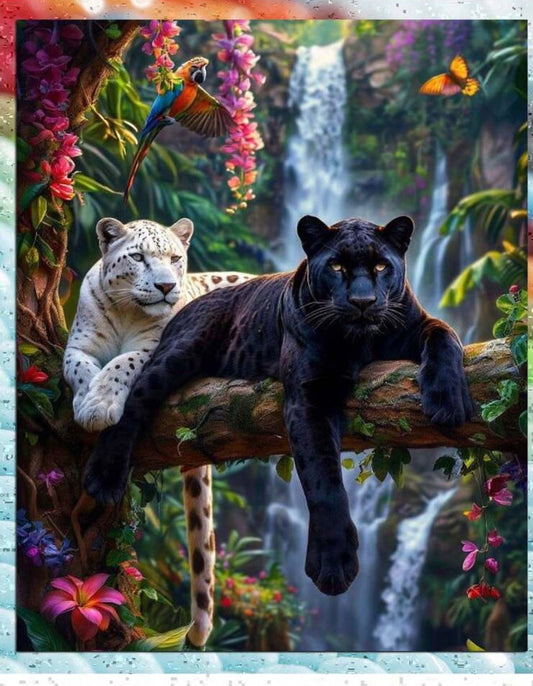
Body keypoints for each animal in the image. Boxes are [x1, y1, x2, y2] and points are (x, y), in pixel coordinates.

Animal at [63, 216, 253, 646]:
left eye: (175, 259)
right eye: (138, 257)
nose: (166, 286)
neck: (128, 312)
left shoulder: (154, 348)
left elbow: (122, 363)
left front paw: (101, 405)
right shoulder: (78, 345)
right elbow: (80, 368)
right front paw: (88, 400)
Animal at [82, 213, 474, 619]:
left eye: (381, 266)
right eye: (336, 267)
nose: (362, 301)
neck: (361, 340)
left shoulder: (415, 325)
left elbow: (444, 334)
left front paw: (447, 399)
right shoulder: (310, 396)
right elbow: (324, 482)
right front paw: (333, 564)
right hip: (179, 351)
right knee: (134, 399)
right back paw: (103, 477)